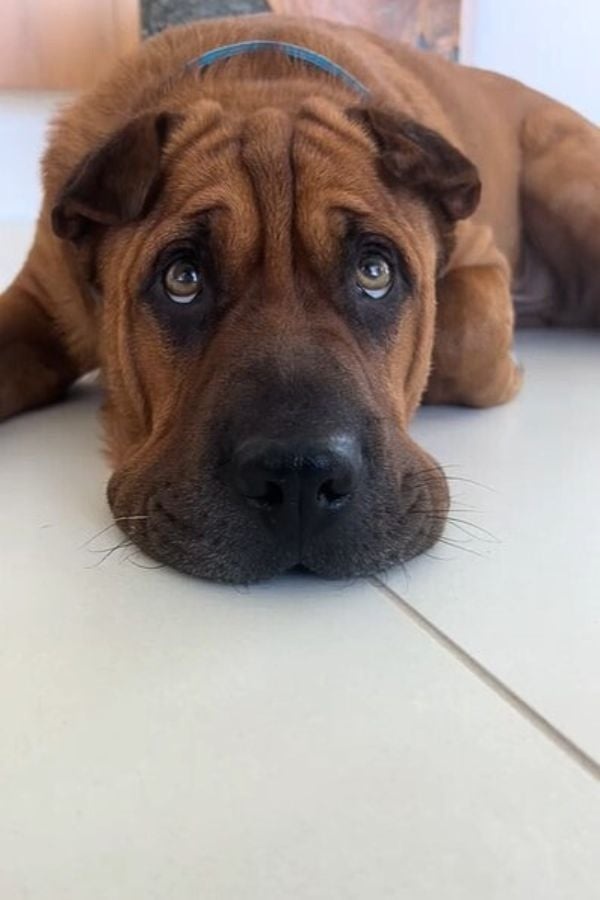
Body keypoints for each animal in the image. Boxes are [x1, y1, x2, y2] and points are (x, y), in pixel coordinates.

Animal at [1, 15, 600, 584]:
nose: (298, 477)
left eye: (374, 271)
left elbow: (464, 341)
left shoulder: (479, 259)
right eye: (183, 279)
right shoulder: (39, 302)